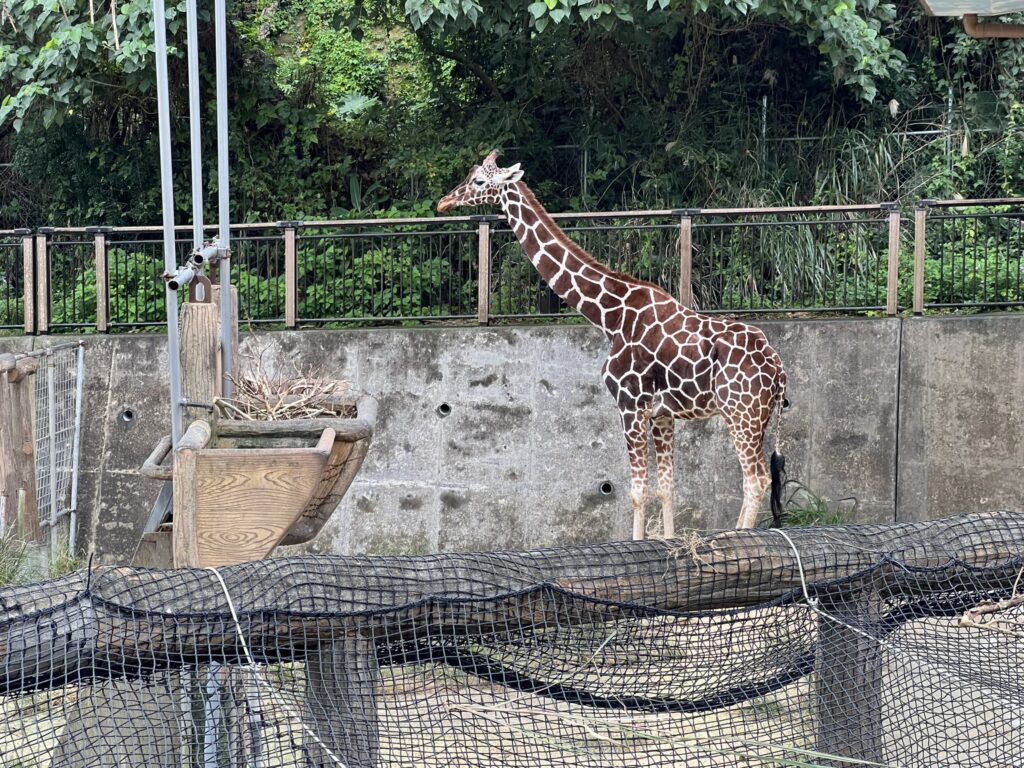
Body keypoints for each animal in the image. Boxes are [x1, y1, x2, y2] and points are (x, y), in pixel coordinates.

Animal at [436, 148, 786, 536]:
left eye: (479, 181)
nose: (443, 201)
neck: (610, 316)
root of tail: (778, 370)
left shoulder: (630, 404)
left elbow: (636, 491)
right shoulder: (662, 415)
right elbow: (666, 488)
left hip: (741, 412)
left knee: (755, 480)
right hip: (758, 417)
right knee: (758, 479)